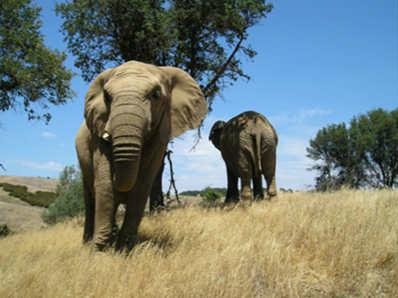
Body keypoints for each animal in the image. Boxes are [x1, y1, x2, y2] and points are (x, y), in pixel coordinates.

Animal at [74, 59, 207, 250]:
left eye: (156, 94)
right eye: (107, 97)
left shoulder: (160, 136)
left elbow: (142, 186)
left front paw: (124, 249)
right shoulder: (97, 134)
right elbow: (105, 185)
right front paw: (98, 251)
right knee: (90, 200)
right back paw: (88, 242)